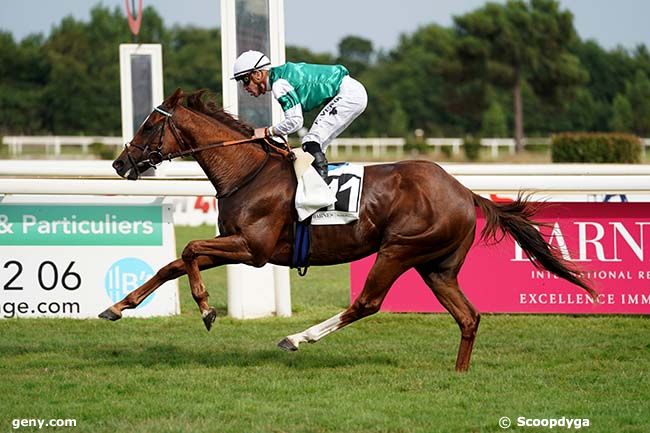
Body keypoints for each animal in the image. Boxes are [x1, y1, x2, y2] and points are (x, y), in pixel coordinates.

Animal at [101, 88, 592, 372]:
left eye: (149, 124)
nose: (120, 163)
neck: (248, 171)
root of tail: (464, 190)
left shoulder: (252, 248)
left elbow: (187, 249)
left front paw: (205, 309)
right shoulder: (234, 244)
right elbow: (171, 264)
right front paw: (118, 306)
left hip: (399, 250)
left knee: (366, 303)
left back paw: (296, 338)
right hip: (437, 267)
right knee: (468, 316)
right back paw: (459, 374)